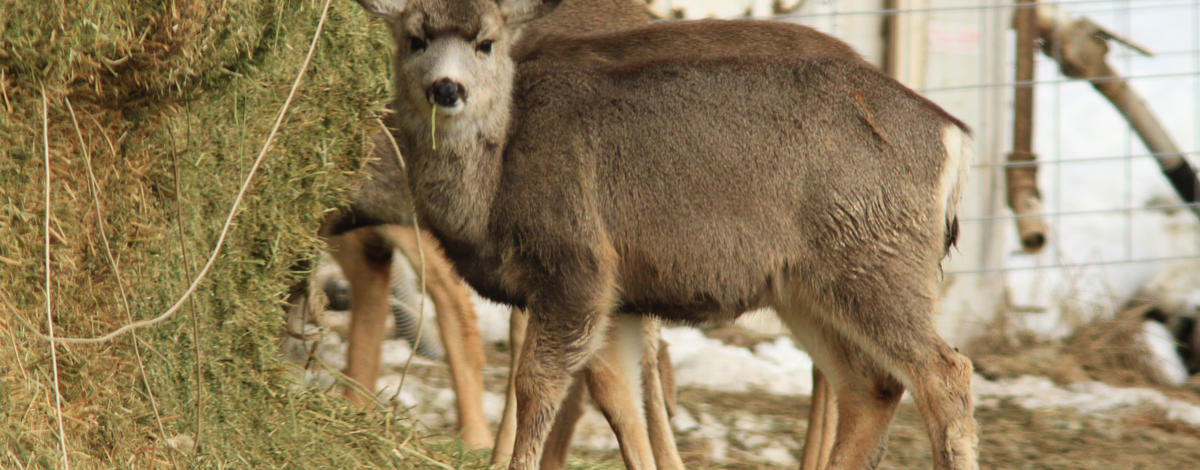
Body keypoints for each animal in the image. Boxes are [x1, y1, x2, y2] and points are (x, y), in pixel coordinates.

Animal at [350, 0, 979, 470]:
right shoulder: (620, 296)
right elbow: (619, 401)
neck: (496, 182)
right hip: (807, 287)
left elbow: (537, 387)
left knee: (944, 372)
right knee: (870, 386)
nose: (446, 89)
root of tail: (953, 138)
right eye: (414, 39)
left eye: (485, 42)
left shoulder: (577, 267)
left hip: (874, 259)